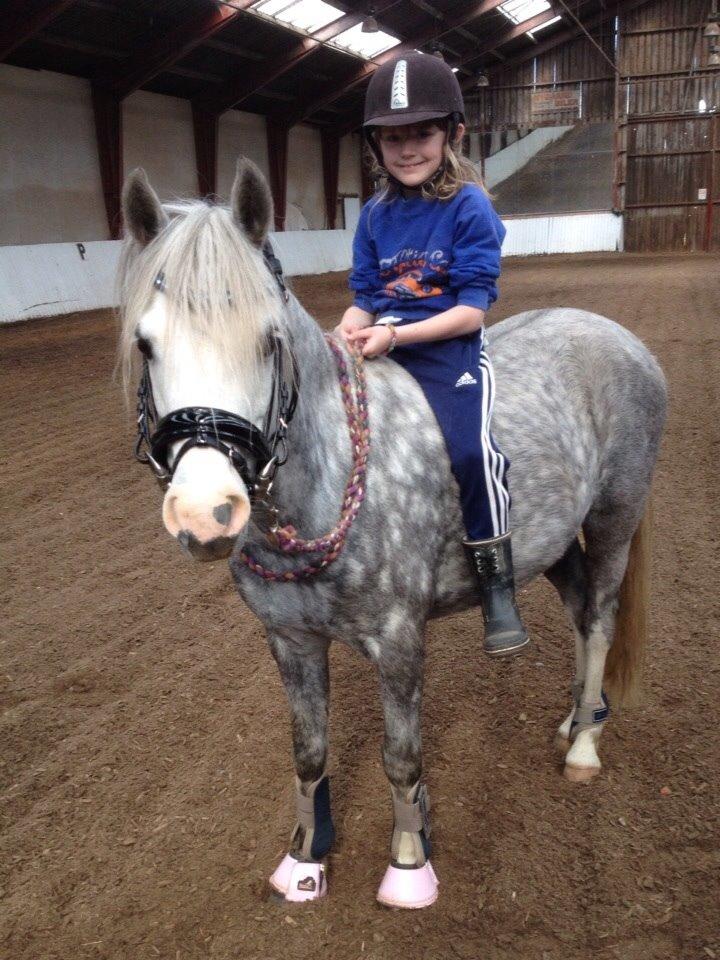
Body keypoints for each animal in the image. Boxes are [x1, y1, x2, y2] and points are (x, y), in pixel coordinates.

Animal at [117, 158, 667, 910]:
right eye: (146, 344)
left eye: (269, 339)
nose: (207, 512)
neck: (324, 485)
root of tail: (620, 337)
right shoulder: (289, 638)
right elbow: (308, 751)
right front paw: (305, 857)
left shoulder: (400, 639)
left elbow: (401, 756)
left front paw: (410, 863)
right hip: (553, 541)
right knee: (583, 612)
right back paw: (578, 719)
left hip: (614, 517)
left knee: (604, 616)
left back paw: (585, 746)